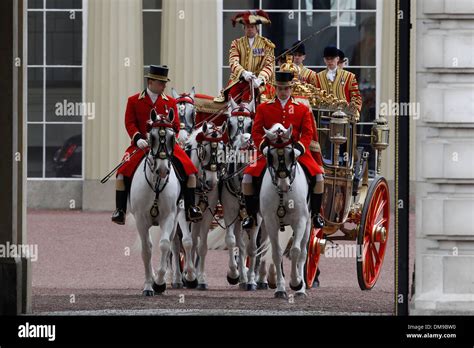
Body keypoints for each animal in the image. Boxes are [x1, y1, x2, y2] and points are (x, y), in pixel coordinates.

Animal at [129, 109, 181, 296]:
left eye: (172, 137)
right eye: (152, 137)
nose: (163, 170)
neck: (156, 183)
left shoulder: (169, 217)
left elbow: (164, 245)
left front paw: (159, 283)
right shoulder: (140, 219)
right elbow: (146, 250)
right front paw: (148, 285)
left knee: (171, 244)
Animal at [260, 123, 312, 300]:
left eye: (291, 154)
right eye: (271, 156)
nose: (283, 184)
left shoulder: (300, 220)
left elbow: (296, 251)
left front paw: (296, 283)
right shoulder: (270, 222)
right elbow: (276, 253)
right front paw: (280, 288)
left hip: (309, 224)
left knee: (303, 253)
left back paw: (301, 289)